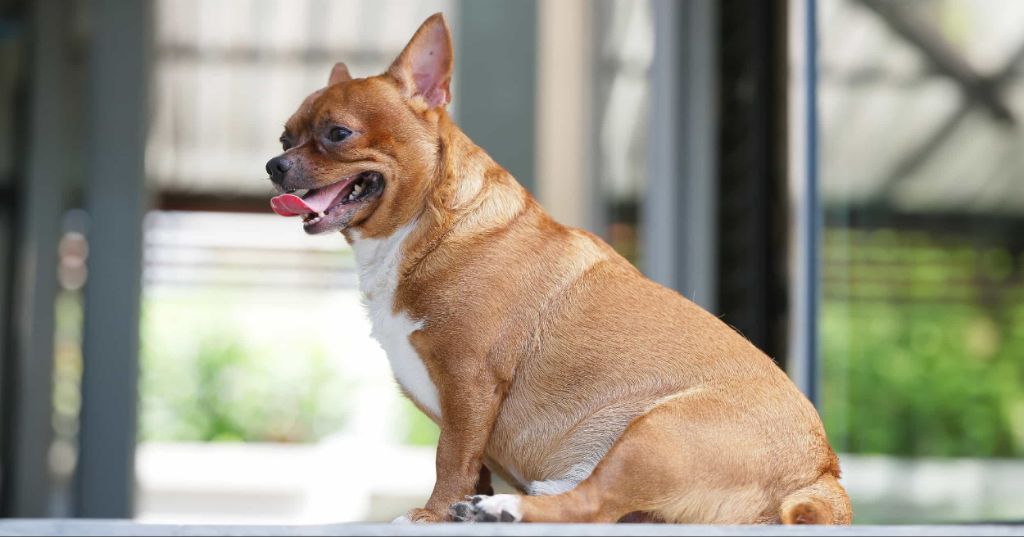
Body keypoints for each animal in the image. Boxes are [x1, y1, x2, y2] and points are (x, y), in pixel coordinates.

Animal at [262, 11, 847, 524]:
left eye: (338, 134)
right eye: (285, 138)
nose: (274, 165)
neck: (427, 226)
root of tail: (822, 474)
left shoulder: (469, 382)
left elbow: (451, 457)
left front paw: (432, 514)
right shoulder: (465, 407)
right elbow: (469, 462)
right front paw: (453, 509)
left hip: (654, 435)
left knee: (591, 507)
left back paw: (507, 509)